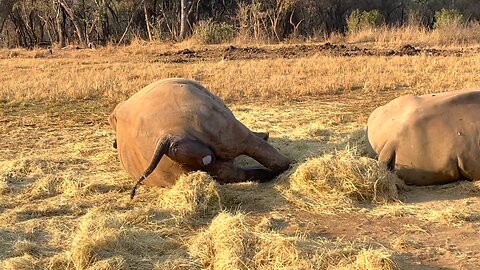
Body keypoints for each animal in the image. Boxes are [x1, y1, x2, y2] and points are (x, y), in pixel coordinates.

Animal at [109, 78, 292, 198]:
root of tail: (168, 138)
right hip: (220, 125)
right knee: (253, 146)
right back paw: (288, 165)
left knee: (232, 172)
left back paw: (268, 173)